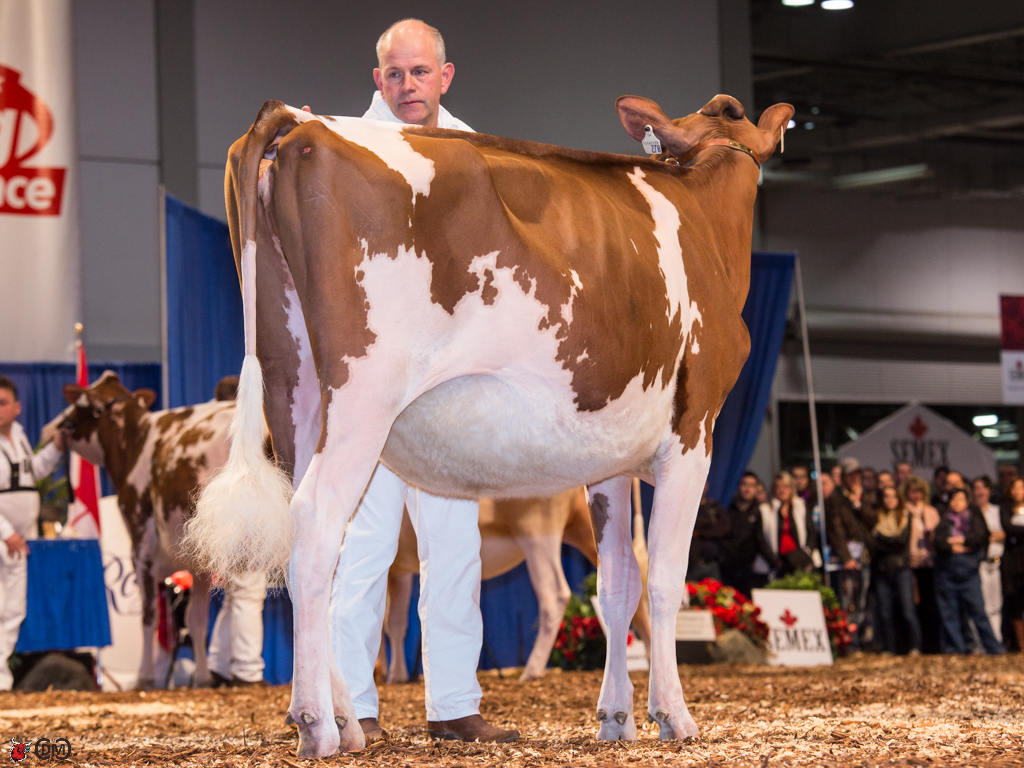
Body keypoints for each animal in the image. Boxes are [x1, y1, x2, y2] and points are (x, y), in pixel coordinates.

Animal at [43, 371, 234, 689]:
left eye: (78, 403)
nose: (49, 430)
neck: (136, 441)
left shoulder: (141, 544)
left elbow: (149, 615)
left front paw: (144, 677)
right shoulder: (198, 561)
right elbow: (197, 620)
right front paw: (203, 679)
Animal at [382, 483, 650, 684]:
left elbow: (384, 622)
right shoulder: (399, 570)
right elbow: (395, 623)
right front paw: (397, 675)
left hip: (537, 528)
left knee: (554, 594)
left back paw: (531, 670)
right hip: (586, 524)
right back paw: (649, 658)